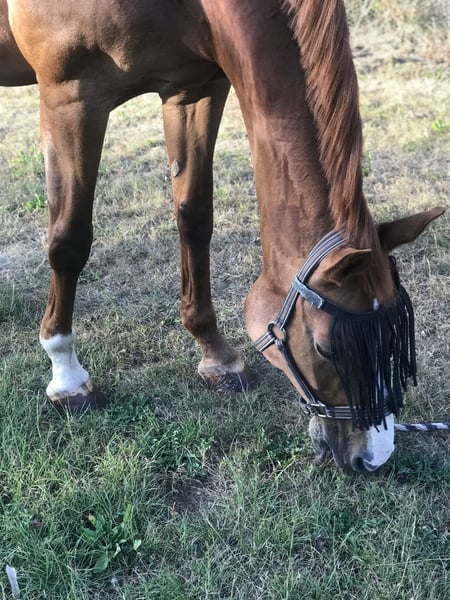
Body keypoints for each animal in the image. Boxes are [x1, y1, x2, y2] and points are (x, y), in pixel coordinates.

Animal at [4, 0, 444, 472]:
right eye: (326, 348)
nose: (373, 457)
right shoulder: (71, 97)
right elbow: (69, 241)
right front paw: (66, 373)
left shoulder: (194, 90)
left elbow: (194, 218)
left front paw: (216, 355)